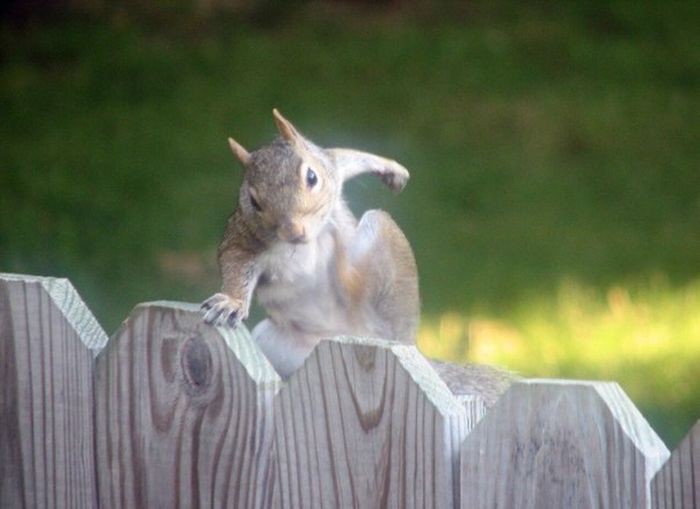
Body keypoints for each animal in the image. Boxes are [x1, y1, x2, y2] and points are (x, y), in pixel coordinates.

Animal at [202, 109, 422, 376]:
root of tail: (350, 334)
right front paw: (232, 302)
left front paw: (392, 169)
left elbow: (343, 157)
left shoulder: (330, 167)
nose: (294, 231)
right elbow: (235, 262)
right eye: (254, 202)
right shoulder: (243, 237)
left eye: (312, 176)